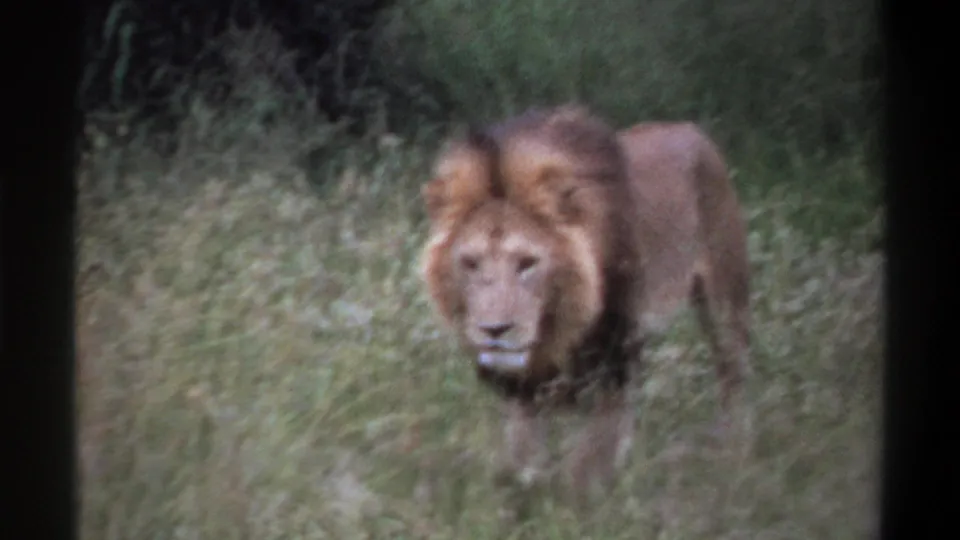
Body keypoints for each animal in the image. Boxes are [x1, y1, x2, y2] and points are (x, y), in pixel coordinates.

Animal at [419, 105, 751, 500]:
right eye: (470, 263)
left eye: (527, 263)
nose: (495, 330)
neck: (557, 325)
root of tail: (691, 130)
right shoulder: (522, 389)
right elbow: (526, 460)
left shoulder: (615, 363)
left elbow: (588, 465)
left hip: (725, 301)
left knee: (733, 379)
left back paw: (734, 453)